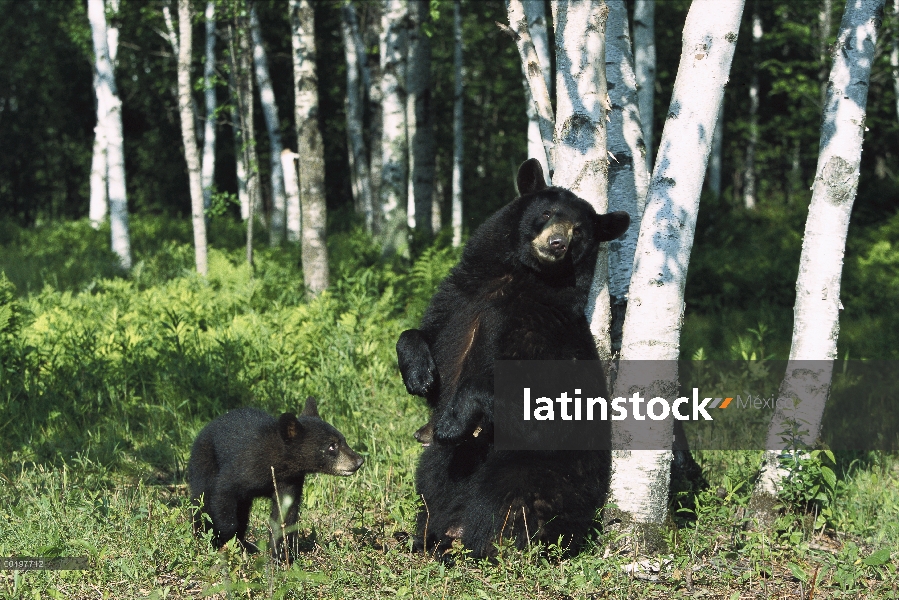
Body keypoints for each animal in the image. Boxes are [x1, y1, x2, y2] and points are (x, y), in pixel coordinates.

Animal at [188, 398, 364, 556]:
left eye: (343, 440)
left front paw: (280, 555)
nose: (358, 460)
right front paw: (225, 539)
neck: (278, 465)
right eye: (332, 446)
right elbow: (223, 494)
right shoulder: (243, 468)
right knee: (201, 499)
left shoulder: (289, 481)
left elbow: (284, 514)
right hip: (204, 460)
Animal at [398, 158, 628, 556]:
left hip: (534, 470)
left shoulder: (543, 332)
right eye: (547, 213)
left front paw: (453, 420)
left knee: (505, 503)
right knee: (432, 481)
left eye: (579, 230)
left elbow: (528, 395)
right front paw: (419, 374)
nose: (557, 242)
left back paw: (483, 544)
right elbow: (427, 339)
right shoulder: (461, 301)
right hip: (447, 466)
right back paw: (429, 536)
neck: (513, 281)